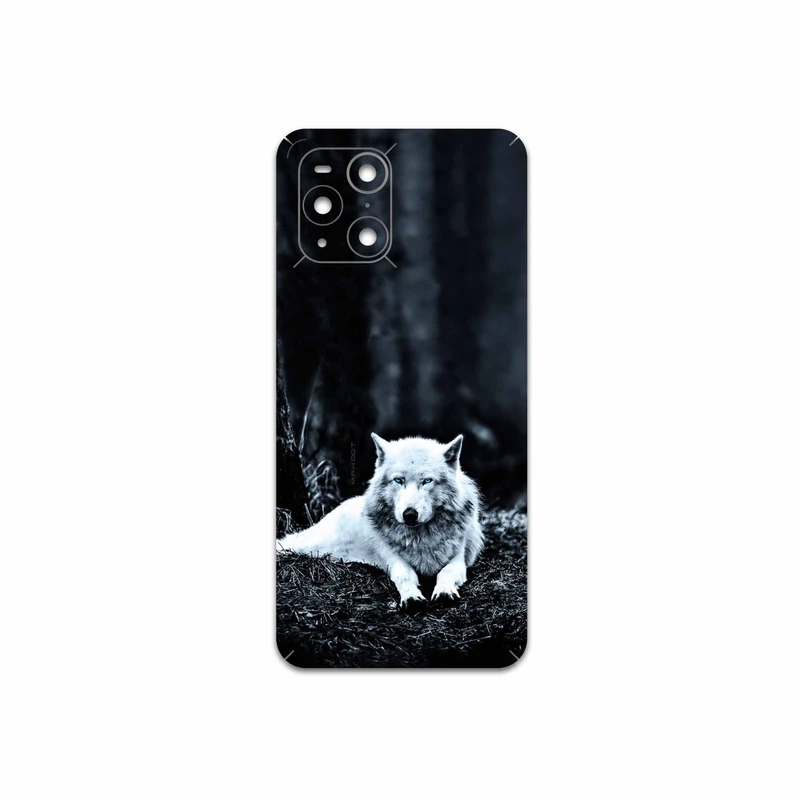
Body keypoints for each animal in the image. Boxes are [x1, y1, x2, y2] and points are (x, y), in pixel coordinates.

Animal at [277, 434, 483, 609]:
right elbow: (405, 576)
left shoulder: (458, 558)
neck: (420, 538)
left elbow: (445, 573)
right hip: (313, 545)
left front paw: (444, 591)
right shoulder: (391, 557)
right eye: (398, 480)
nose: (409, 514)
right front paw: (411, 597)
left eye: (427, 481)